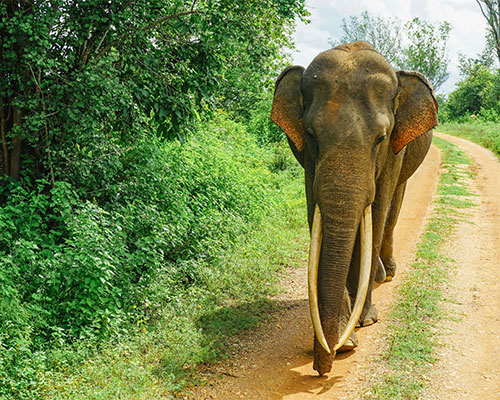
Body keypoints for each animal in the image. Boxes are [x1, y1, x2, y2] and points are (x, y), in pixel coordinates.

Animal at [270, 42, 438, 376]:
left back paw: (386, 274)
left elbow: (376, 212)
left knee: (391, 213)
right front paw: (345, 341)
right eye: (311, 134)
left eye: (381, 138)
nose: (321, 368)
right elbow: (316, 212)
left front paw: (364, 322)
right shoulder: (308, 161)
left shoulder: (393, 151)